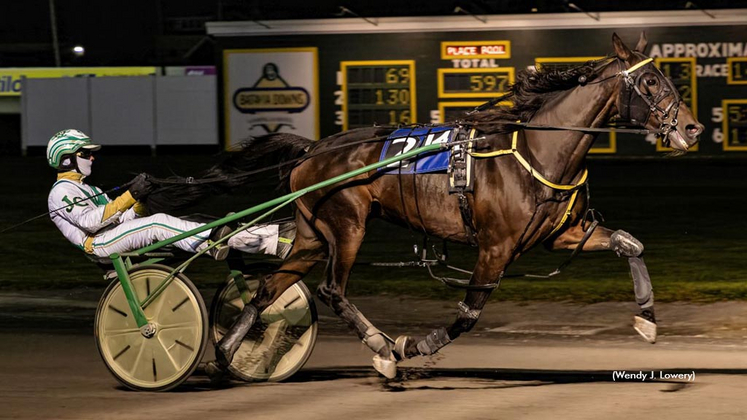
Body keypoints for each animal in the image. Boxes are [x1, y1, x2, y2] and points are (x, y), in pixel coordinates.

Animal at [149, 34, 704, 378]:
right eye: (650, 82)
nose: (693, 128)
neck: (538, 148)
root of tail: (313, 149)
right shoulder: (496, 248)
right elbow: (468, 314)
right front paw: (411, 347)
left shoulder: (562, 234)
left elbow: (629, 244)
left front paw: (647, 320)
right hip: (347, 227)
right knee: (331, 289)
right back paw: (380, 349)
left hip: (310, 235)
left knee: (268, 288)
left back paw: (224, 355)